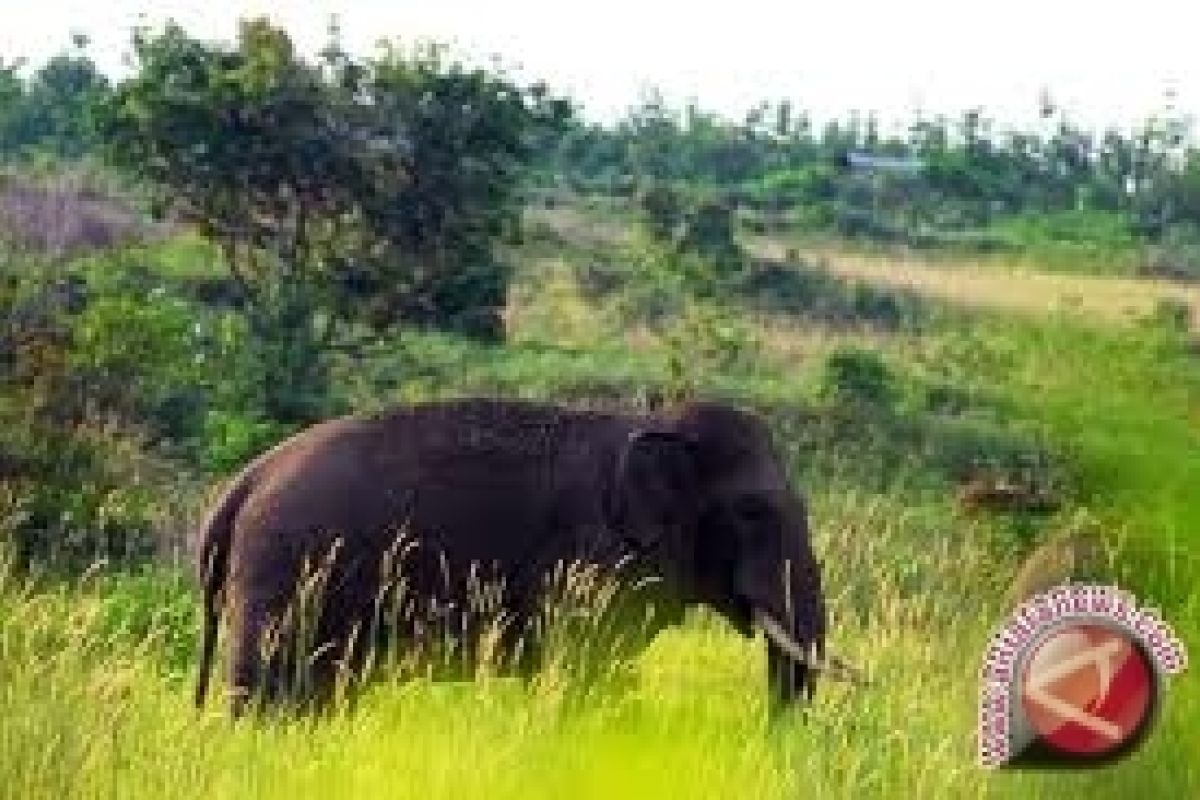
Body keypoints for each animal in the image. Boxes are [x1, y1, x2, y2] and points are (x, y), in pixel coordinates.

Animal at [192, 398, 840, 714]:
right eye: (752, 512)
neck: (649, 425)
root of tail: (238, 487)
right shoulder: (589, 562)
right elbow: (587, 673)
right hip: (283, 579)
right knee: (270, 691)